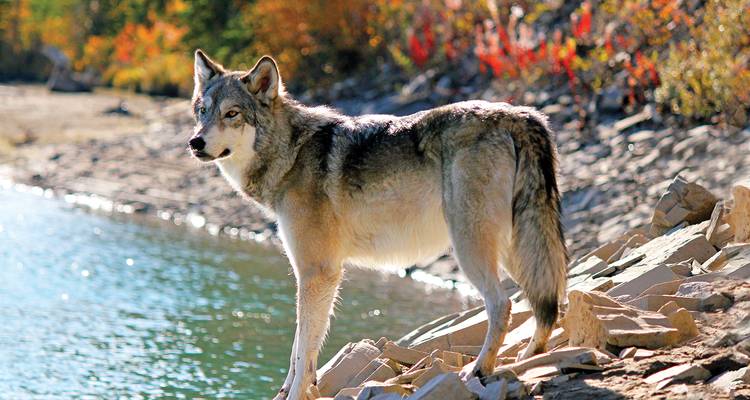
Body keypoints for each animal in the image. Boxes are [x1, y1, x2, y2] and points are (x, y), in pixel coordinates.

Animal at [188, 50, 568, 399]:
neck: (292, 153)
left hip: (471, 248)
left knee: (503, 305)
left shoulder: (318, 272)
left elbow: (305, 349)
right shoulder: (312, 274)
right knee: (547, 304)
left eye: (232, 114)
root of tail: (520, 115)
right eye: (202, 111)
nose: (195, 142)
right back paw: (530, 359)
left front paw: (296, 393)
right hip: (515, 248)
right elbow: (298, 351)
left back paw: (479, 370)